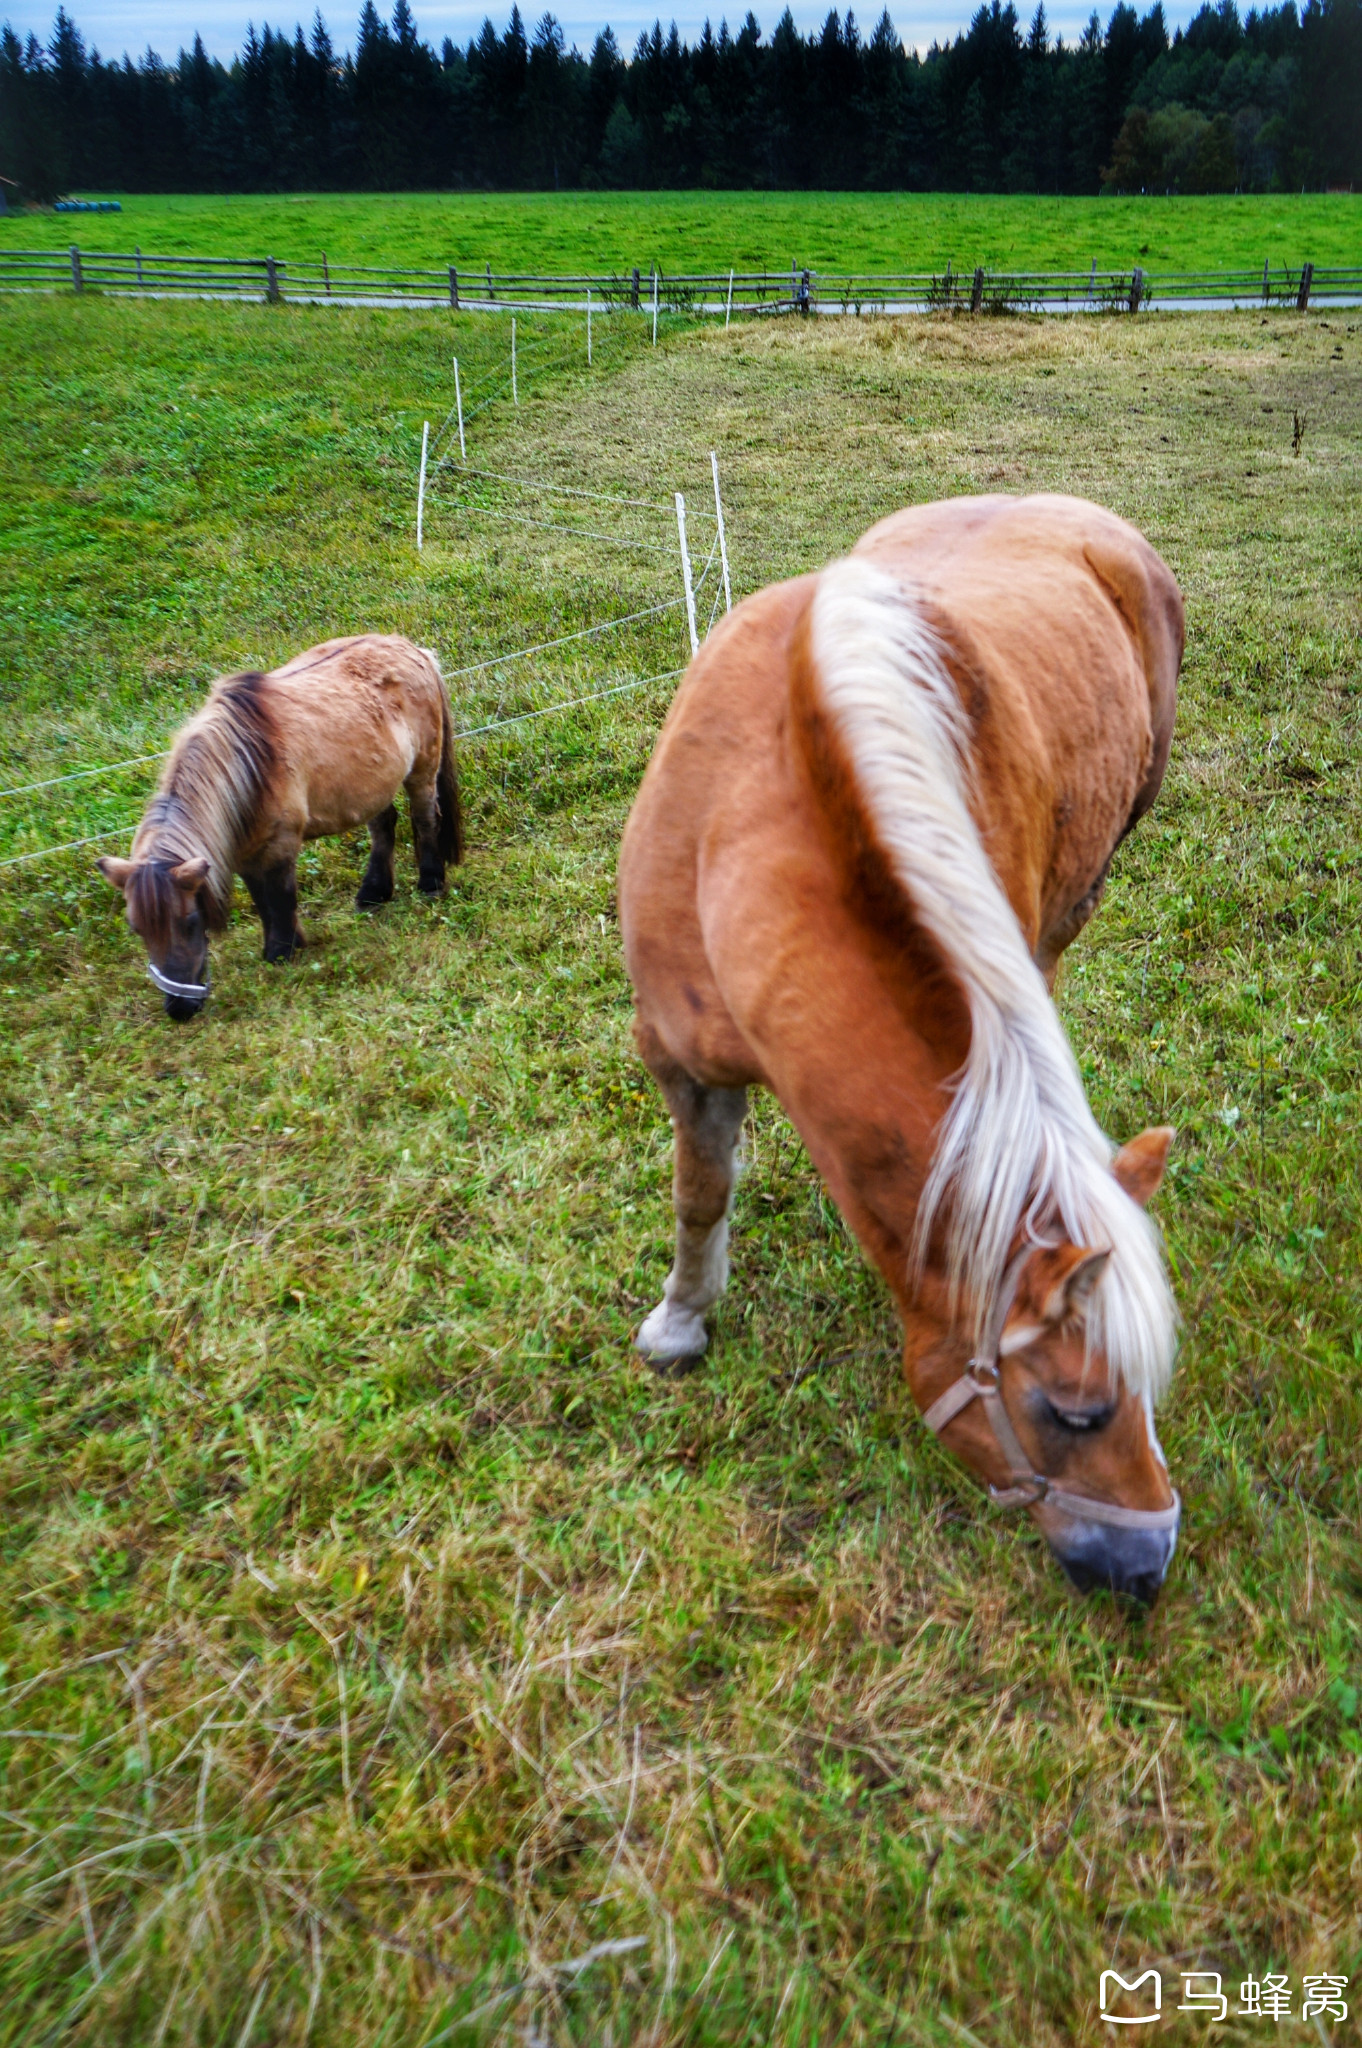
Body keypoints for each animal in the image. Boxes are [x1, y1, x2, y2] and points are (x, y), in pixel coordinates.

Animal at [98, 630, 462, 1015]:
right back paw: (373, 894)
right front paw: (278, 945)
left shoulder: (281, 845)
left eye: (190, 921)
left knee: (426, 819)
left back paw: (431, 883)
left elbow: (281, 897)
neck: (247, 765)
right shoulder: (245, 854)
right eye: (137, 929)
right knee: (383, 826)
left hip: (422, 769)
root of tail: (412, 649)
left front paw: (283, 950)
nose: (179, 1009)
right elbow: (262, 901)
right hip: (373, 784)